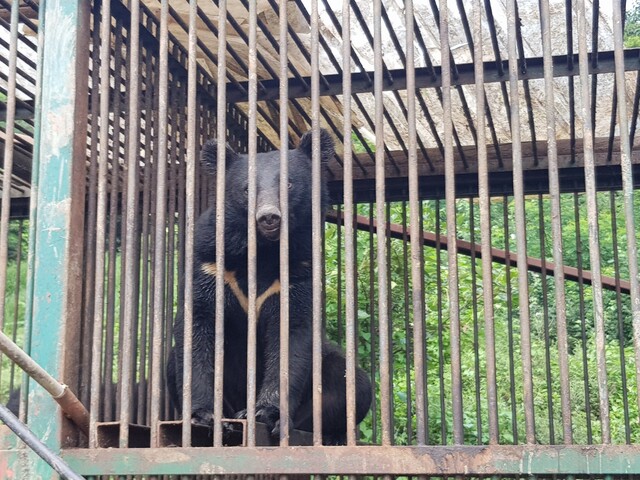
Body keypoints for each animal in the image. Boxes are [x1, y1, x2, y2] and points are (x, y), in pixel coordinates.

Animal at [168, 129, 372, 444]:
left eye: (288, 183)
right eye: (247, 189)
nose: (268, 217)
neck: (263, 251)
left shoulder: (297, 271)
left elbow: (291, 336)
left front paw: (267, 413)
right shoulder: (209, 264)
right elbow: (198, 325)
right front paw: (203, 416)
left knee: (353, 383)